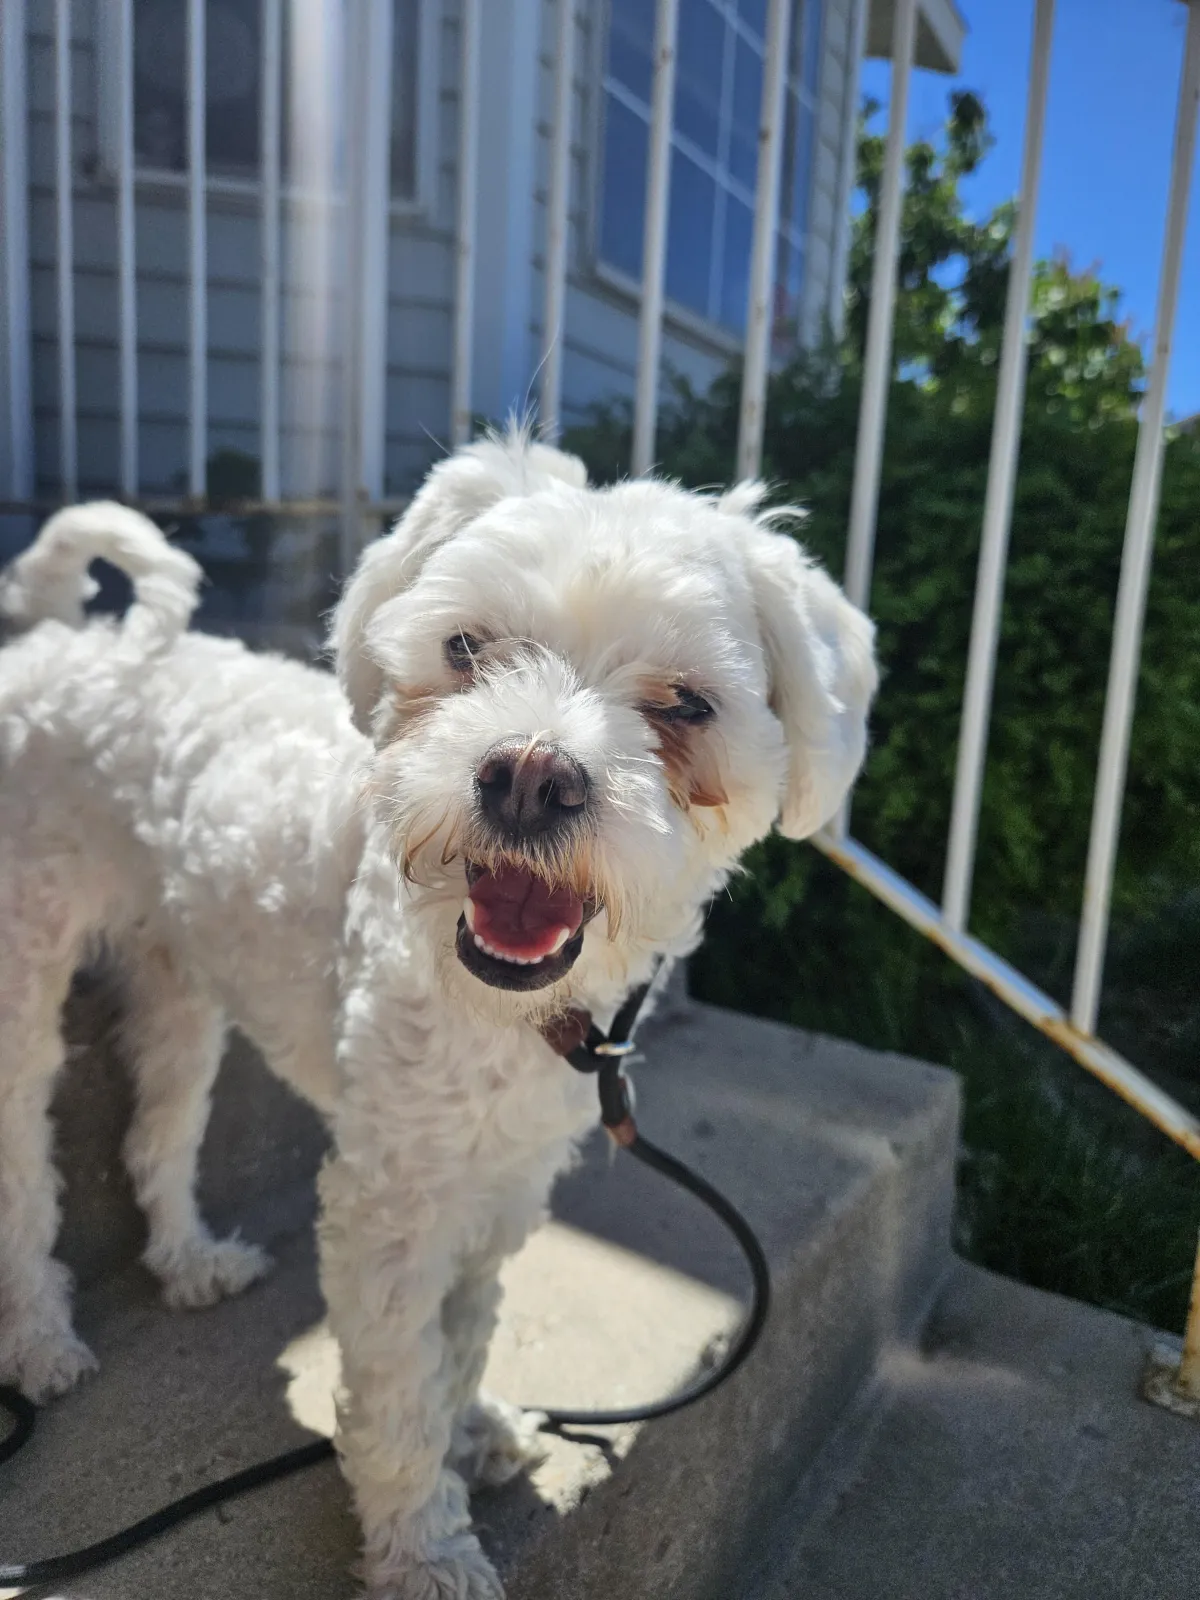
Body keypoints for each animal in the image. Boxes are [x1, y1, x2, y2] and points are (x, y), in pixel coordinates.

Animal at [2, 432, 883, 1593]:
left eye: (687, 705)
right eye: (465, 646)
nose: (529, 774)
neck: (512, 1014)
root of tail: (62, 637)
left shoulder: (503, 1181)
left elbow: (458, 1342)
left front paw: (471, 1430)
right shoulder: (393, 1202)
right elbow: (395, 1394)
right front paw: (425, 1546)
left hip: (177, 990)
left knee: (160, 1132)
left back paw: (190, 1262)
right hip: (21, 983)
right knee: (22, 1176)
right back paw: (37, 1340)